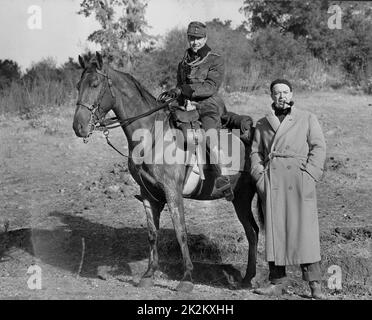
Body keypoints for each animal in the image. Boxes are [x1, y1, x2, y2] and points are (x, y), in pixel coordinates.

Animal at [71, 52, 260, 292]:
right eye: (79, 85)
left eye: (95, 84)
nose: (79, 127)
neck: (152, 135)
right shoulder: (148, 195)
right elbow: (152, 234)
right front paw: (149, 274)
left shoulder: (172, 192)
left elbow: (181, 233)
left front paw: (187, 278)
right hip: (241, 198)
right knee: (252, 232)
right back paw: (247, 278)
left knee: (254, 232)